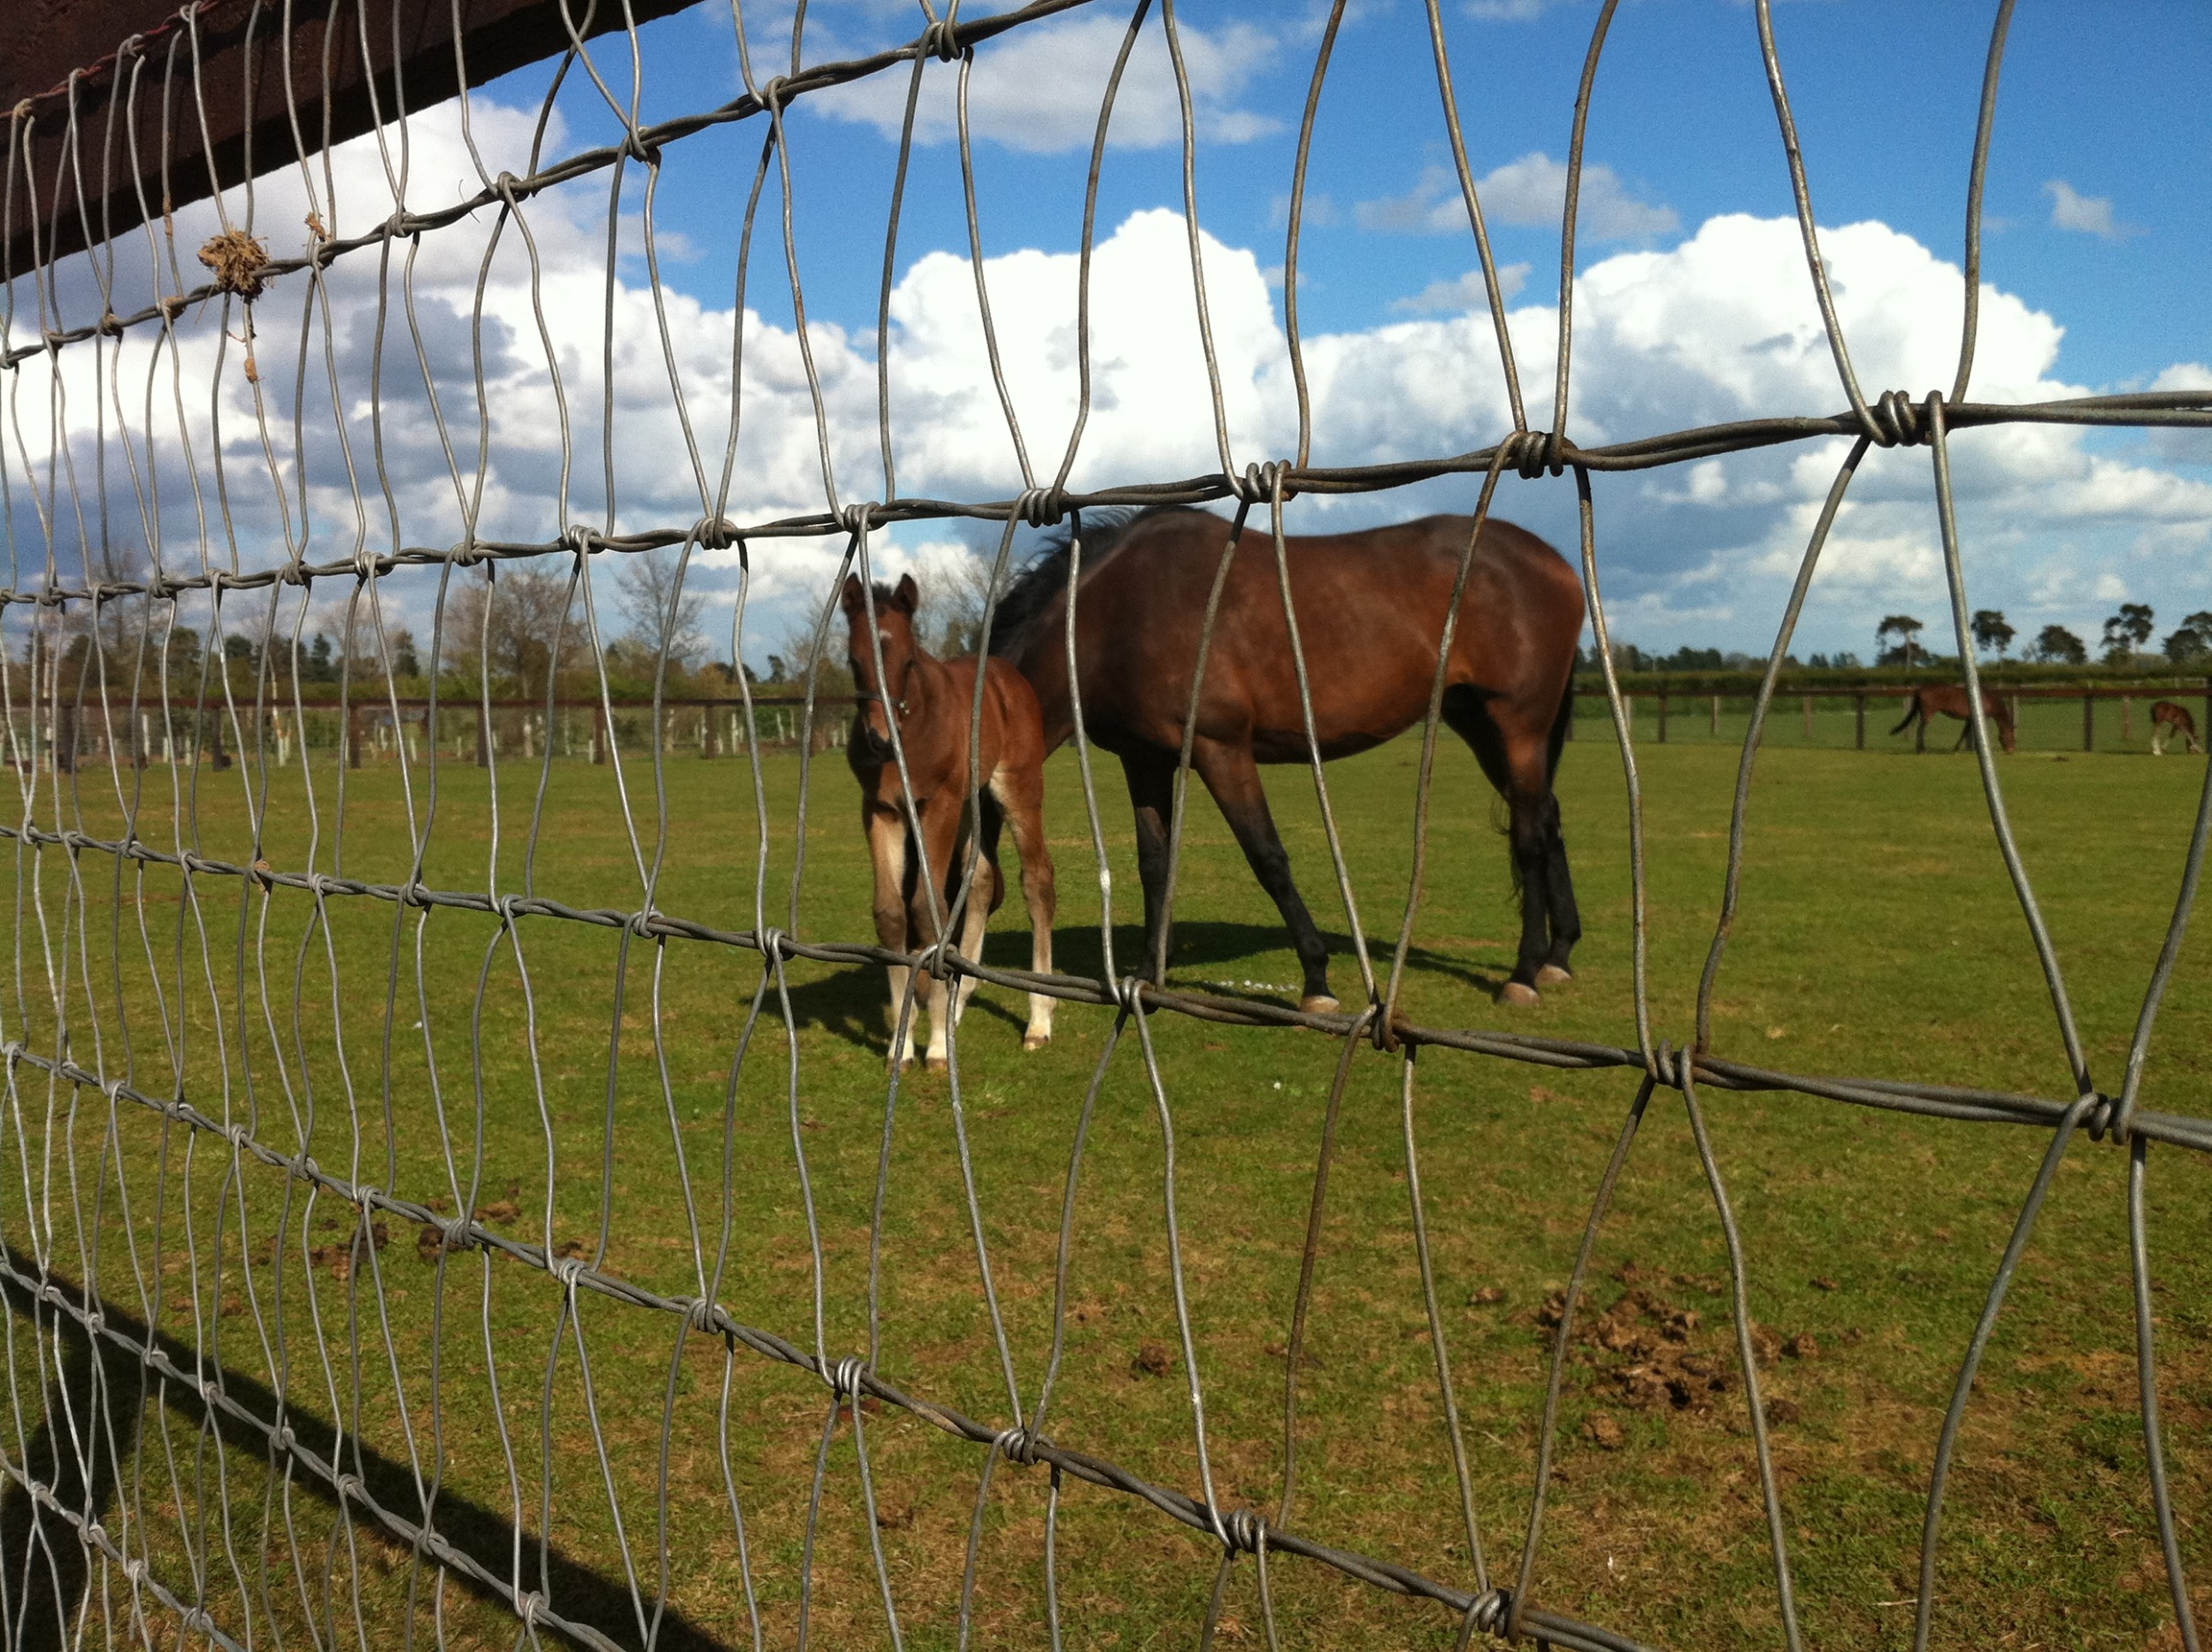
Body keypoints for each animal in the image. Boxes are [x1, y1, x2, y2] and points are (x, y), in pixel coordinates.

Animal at [841, 574, 1057, 1074]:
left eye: (908, 660)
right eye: (853, 661)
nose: (880, 740)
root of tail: (1005, 673)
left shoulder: (935, 805)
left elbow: (929, 908)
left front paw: (936, 1046)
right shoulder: (881, 810)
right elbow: (892, 913)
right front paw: (901, 1045)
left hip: (1017, 787)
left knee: (1037, 880)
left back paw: (1038, 1020)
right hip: (969, 804)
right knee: (980, 880)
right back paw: (960, 1000)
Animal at [991, 511, 1593, 1012]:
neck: (1117, 614)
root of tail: (1554, 562)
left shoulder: (1221, 749)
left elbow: (1268, 858)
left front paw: (1317, 979)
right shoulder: (1145, 761)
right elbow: (1154, 864)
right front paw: (1146, 973)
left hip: (1518, 728)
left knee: (1530, 838)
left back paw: (1524, 974)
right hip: (1481, 726)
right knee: (1548, 818)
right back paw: (1559, 955)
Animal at [1893, 685, 2017, 756]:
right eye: (2011, 737)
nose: (2011, 751)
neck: (1989, 700)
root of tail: (1920, 690)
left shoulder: (1969, 719)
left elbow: (1966, 733)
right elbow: (1970, 733)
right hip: (1928, 714)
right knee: (1921, 729)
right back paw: (1922, 750)